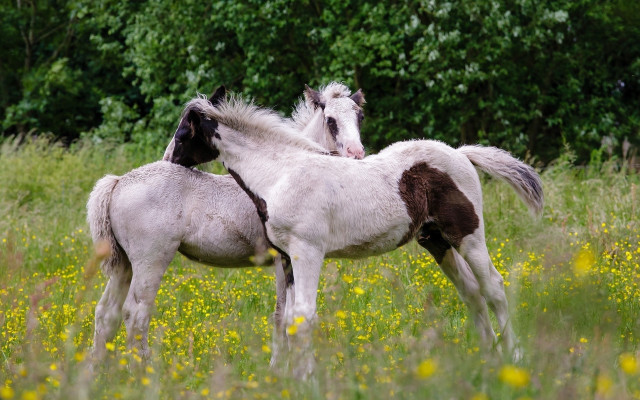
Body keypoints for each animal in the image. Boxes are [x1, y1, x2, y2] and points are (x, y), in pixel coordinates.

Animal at [87, 82, 367, 363]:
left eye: (360, 117)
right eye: (330, 120)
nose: (356, 154)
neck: (279, 173)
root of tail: (117, 182)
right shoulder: (283, 259)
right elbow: (281, 314)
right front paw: (278, 366)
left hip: (124, 264)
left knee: (106, 313)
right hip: (150, 261)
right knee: (136, 313)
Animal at [165, 91, 544, 379]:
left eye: (183, 133)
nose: (169, 160)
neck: (281, 174)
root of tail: (461, 153)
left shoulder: (308, 252)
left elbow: (304, 316)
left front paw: (307, 381)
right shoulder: (287, 258)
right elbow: (287, 318)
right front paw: (291, 378)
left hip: (468, 235)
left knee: (493, 286)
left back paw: (515, 357)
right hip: (435, 240)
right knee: (471, 292)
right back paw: (487, 357)